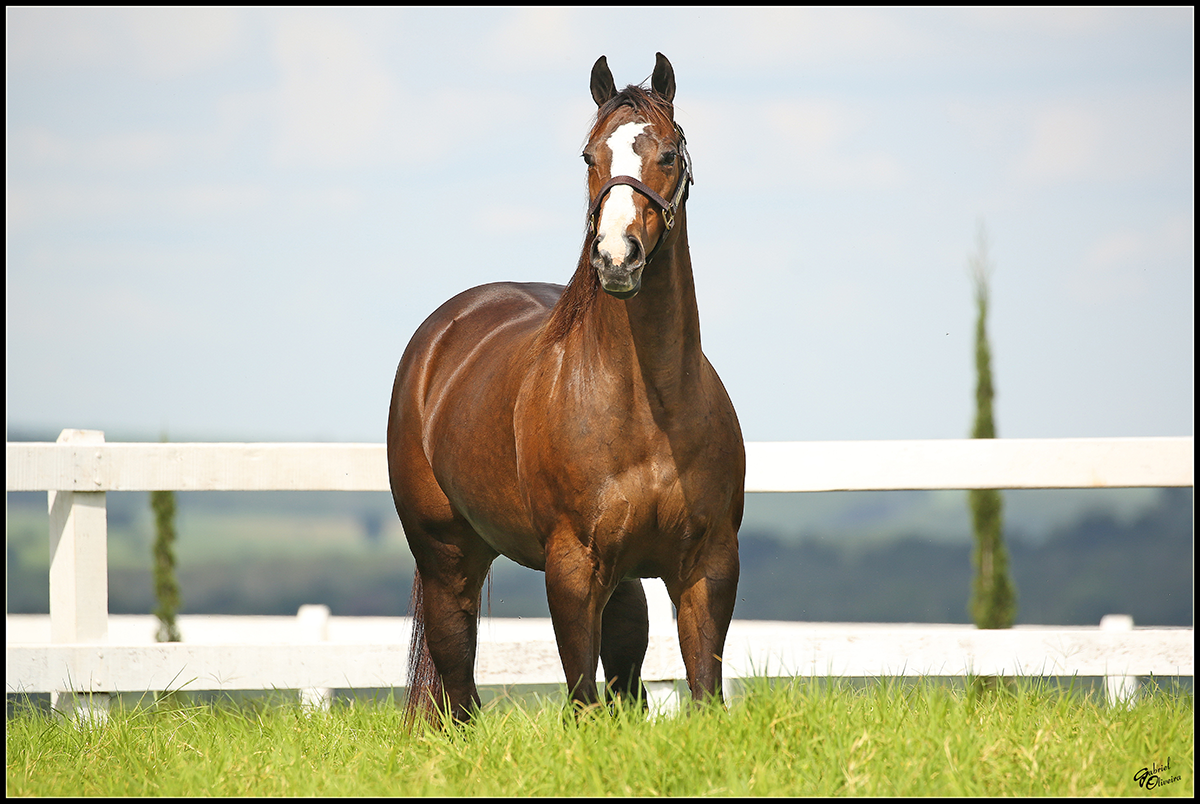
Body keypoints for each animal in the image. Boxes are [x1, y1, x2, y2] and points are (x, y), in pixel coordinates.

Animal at [387, 52, 745, 725]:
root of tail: (439, 339)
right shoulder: (573, 567)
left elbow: (701, 684)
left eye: (669, 153)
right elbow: (580, 693)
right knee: (456, 667)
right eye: (588, 156)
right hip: (448, 556)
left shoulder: (708, 564)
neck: (647, 406)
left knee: (624, 654)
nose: (616, 257)